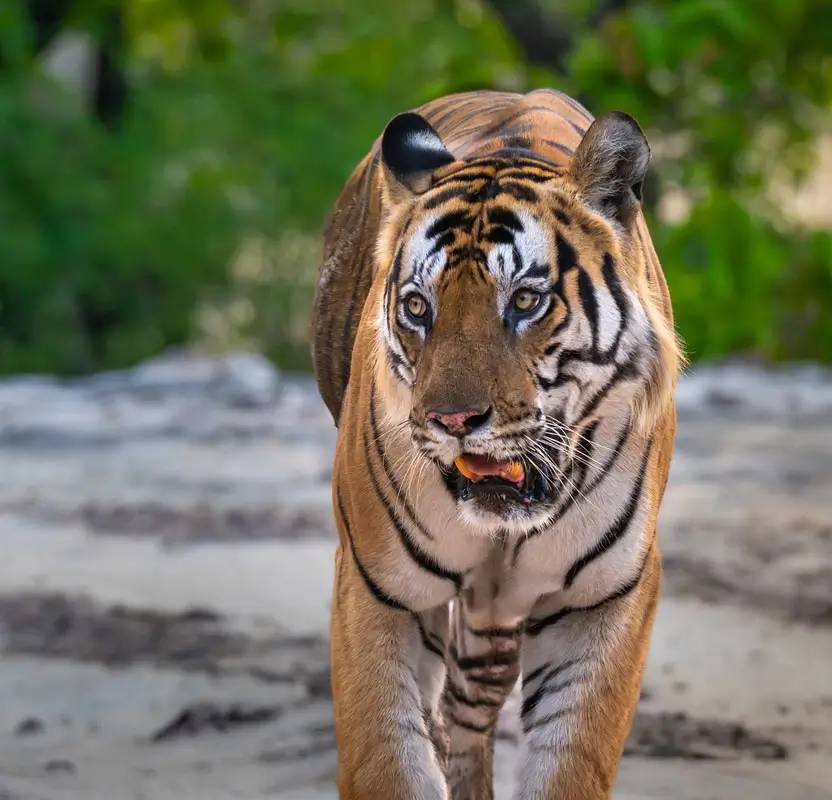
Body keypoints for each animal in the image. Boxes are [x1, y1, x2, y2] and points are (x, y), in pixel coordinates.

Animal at [310, 87, 682, 800]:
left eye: (527, 301)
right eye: (418, 308)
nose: (453, 420)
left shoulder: (606, 597)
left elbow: (570, 760)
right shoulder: (376, 588)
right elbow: (387, 756)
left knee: (467, 705)